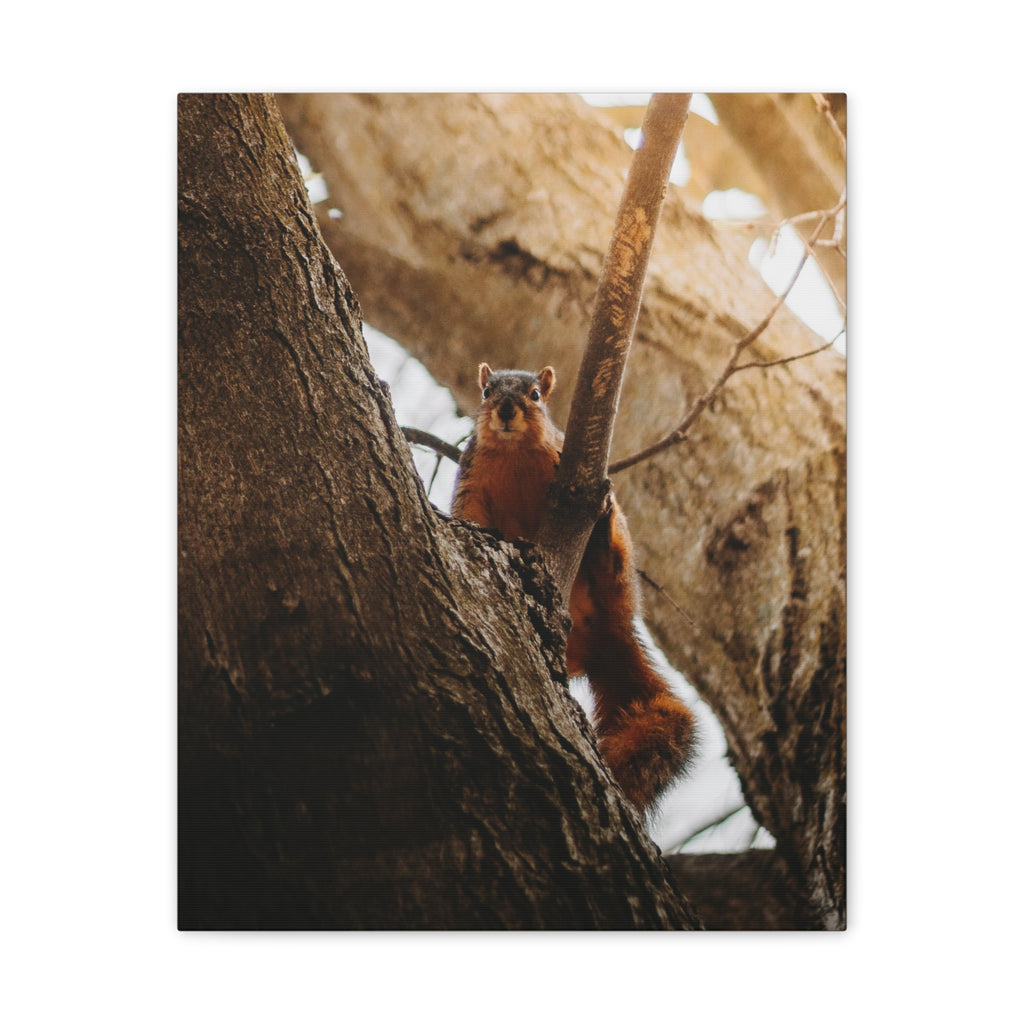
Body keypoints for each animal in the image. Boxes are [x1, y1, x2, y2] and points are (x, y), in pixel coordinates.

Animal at [452, 362, 696, 815]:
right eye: (487, 392)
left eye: (535, 395)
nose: (506, 409)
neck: (514, 454)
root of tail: (607, 633)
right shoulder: (471, 481)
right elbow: (471, 515)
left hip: (619, 583)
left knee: (612, 568)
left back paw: (603, 540)